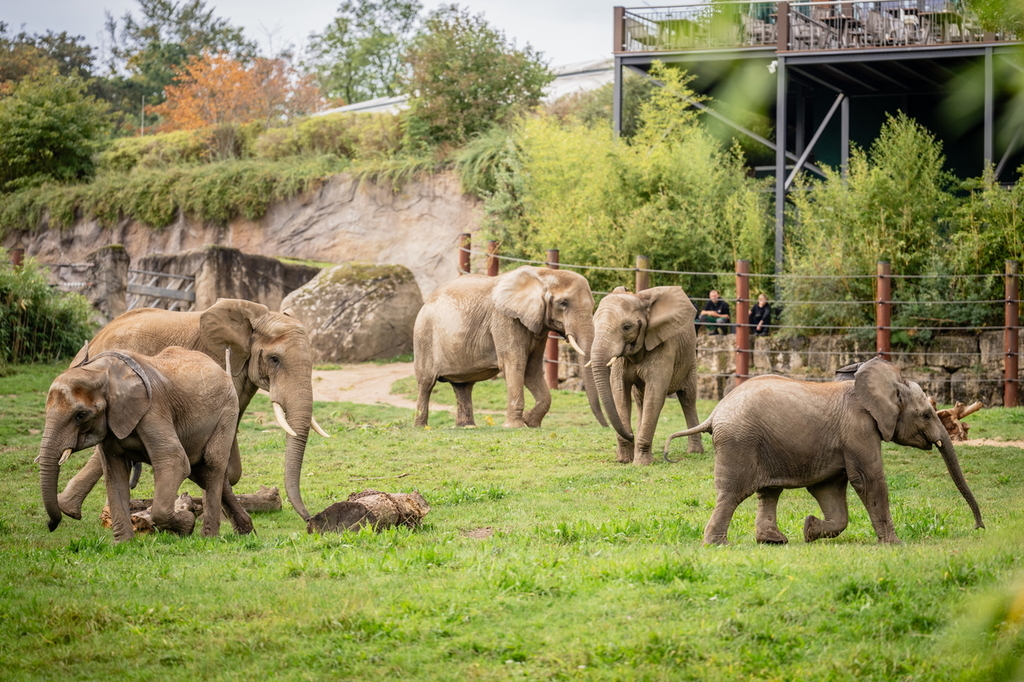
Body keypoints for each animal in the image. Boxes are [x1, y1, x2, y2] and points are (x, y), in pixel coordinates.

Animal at [37, 348, 253, 540]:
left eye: (80, 415)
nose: (51, 525)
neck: (101, 371)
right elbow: (114, 474)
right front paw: (124, 544)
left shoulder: (153, 410)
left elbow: (174, 461)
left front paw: (187, 523)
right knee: (201, 471)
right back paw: (247, 531)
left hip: (228, 412)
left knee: (212, 465)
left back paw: (210, 536)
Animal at [413, 264, 606, 425]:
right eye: (563, 303)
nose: (605, 426)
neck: (544, 274)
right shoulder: (504, 319)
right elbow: (515, 364)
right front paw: (517, 425)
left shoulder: (538, 326)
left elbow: (532, 370)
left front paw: (531, 423)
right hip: (424, 335)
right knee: (426, 383)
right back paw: (422, 427)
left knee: (463, 385)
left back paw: (467, 427)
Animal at [593, 284, 704, 464]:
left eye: (626, 327)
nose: (630, 435)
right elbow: (619, 391)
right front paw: (624, 460)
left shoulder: (665, 347)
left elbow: (655, 394)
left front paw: (641, 463)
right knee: (640, 401)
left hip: (690, 360)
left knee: (688, 398)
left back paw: (695, 452)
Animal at [663, 358, 983, 544]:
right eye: (927, 415)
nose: (979, 527)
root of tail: (714, 414)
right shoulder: (859, 431)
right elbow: (868, 481)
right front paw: (895, 545)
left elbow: (830, 491)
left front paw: (809, 530)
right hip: (740, 442)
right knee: (732, 493)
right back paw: (718, 544)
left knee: (768, 492)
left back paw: (774, 541)